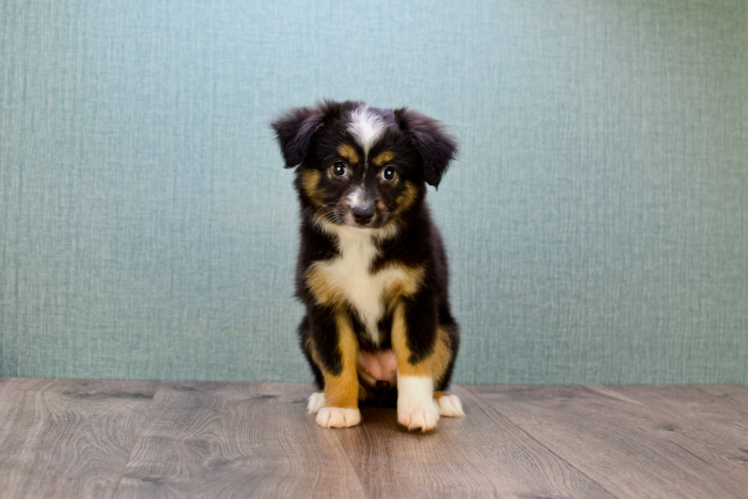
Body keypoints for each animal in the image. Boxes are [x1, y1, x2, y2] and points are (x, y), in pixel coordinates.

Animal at [272, 100, 464, 430]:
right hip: (307, 331)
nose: (362, 213)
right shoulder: (326, 304)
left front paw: (418, 410)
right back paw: (323, 397)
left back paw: (442, 400)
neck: (361, 242)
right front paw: (340, 409)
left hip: (446, 331)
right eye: (339, 168)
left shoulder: (416, 297)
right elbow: (337, 362)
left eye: (389, 172)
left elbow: (414, 358)